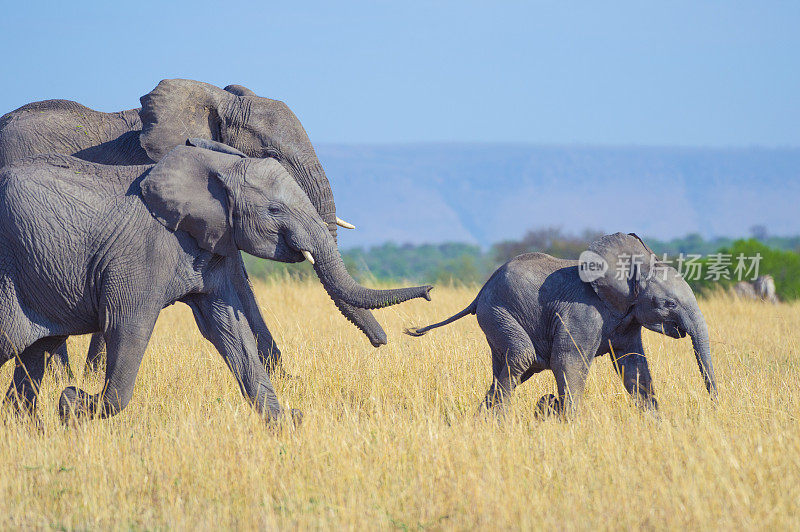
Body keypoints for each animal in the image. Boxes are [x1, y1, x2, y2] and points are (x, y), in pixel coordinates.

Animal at [0, 140, 432, 424]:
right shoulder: (141, 253)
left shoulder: (215, 244)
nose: (429, 293)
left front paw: (286, 423)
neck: (218, 166)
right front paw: (71, 405)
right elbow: (129, 327)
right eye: (275, 210)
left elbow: (230, 328)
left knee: (35, 354)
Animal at [406, 235, 720, 418]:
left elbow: (634, 365)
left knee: (509, 368)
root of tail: (481, 290)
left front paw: (654, 421)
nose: (715, 406)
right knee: (522, 358)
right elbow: (569, 360)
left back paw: (484, 421)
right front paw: (570, 423)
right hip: (498, 312)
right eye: (668, 303)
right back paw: (501, 422)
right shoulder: (583, 311)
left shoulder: (628, 318)